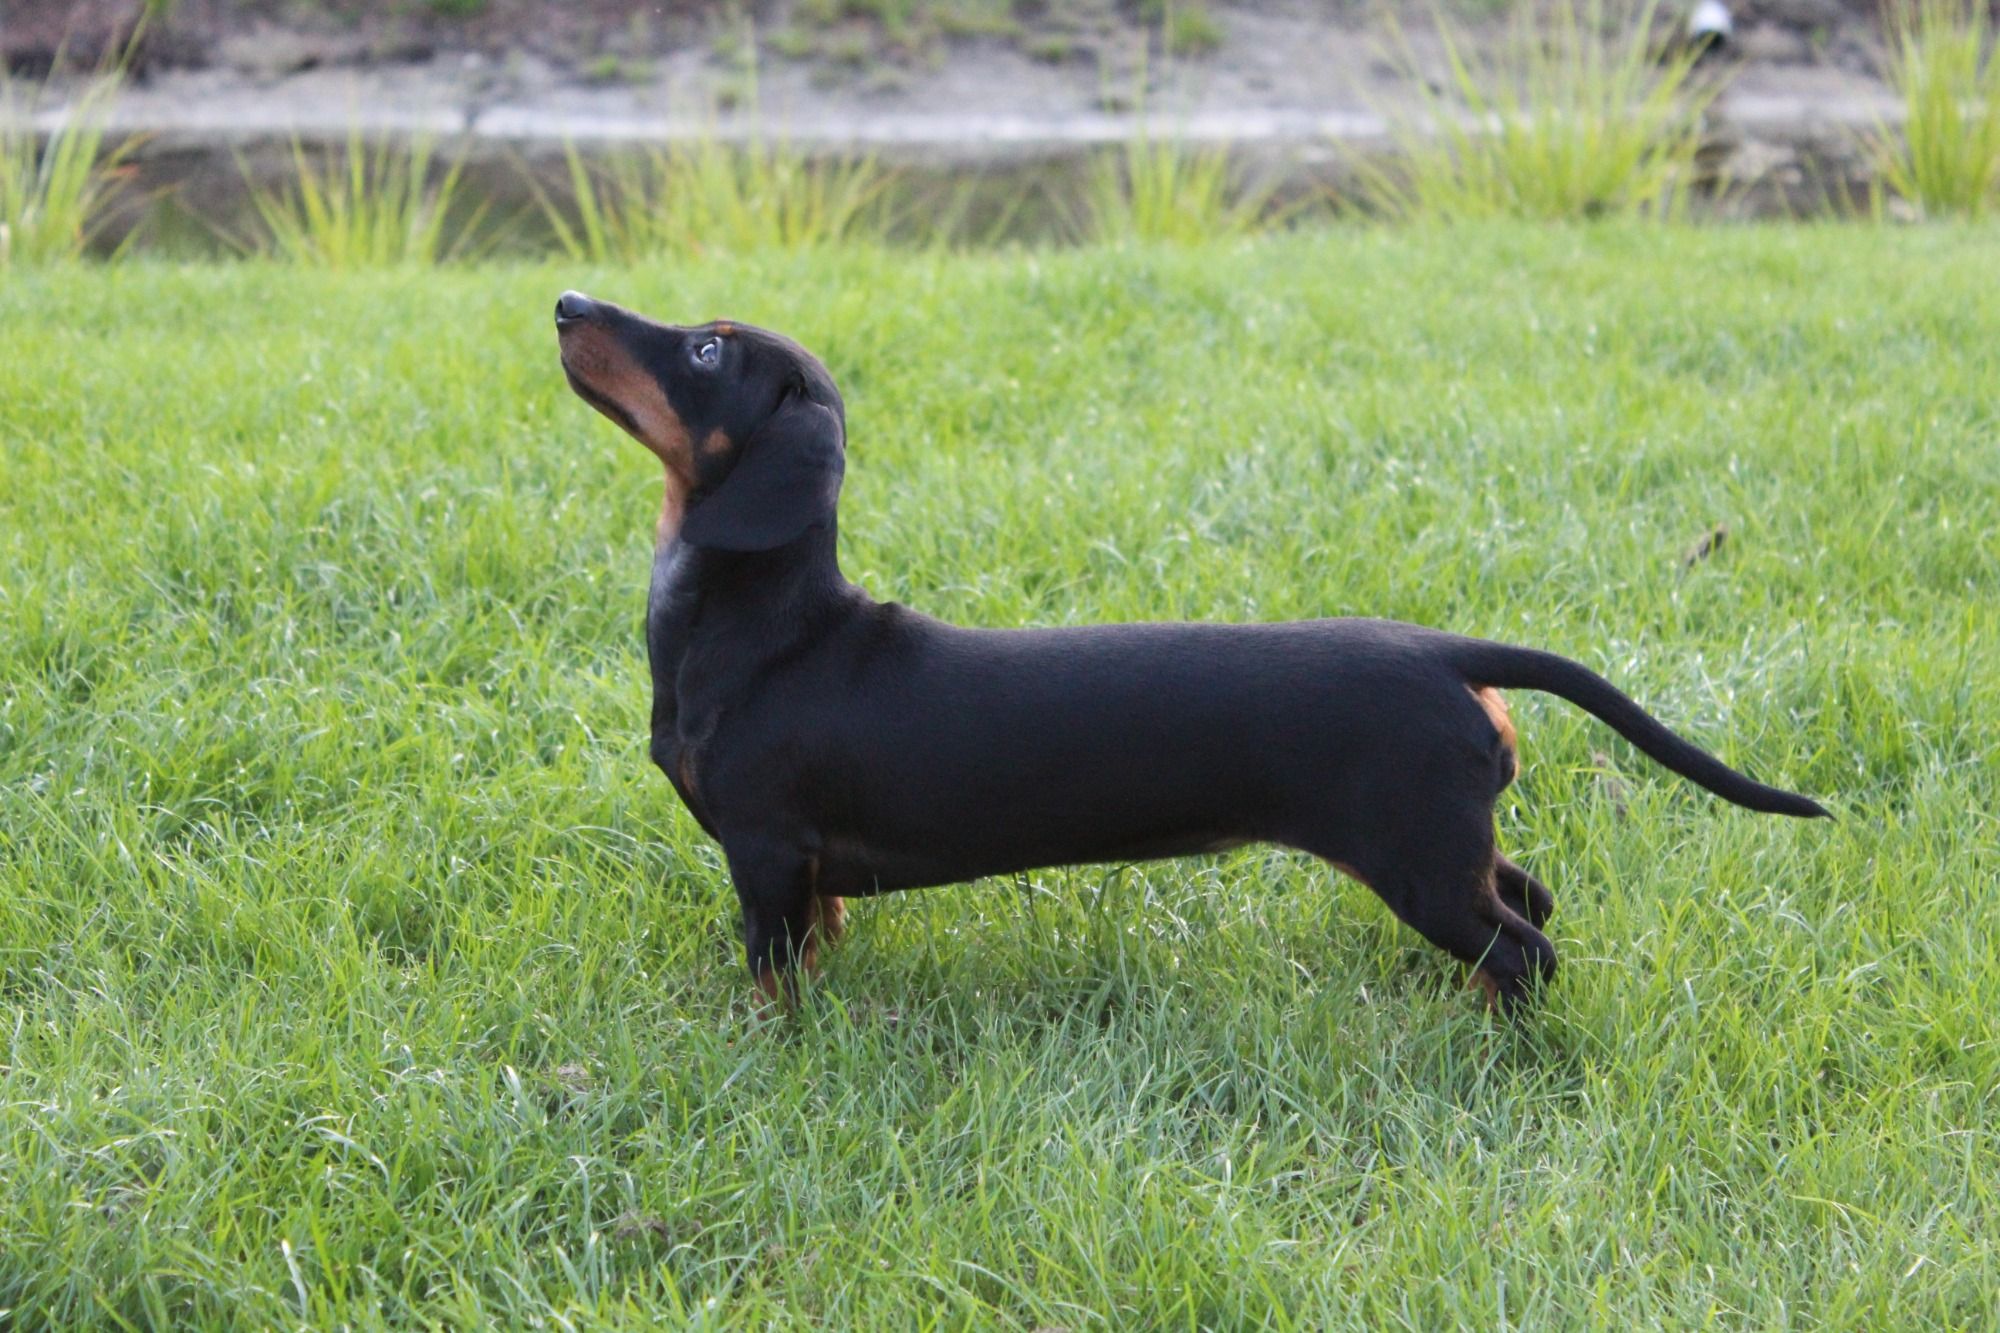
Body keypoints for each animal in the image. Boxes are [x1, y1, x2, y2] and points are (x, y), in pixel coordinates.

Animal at [553, 292, 1828, 1011]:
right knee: (1530, 902)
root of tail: (1436, 650)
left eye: (705, 352)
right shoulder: (805, 876)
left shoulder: (766, 853)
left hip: (1414, 857)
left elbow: (772, 979)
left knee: (1524, 952)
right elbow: (813, 955)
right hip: (1444, 845)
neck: (768, 631)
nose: (565, 300)